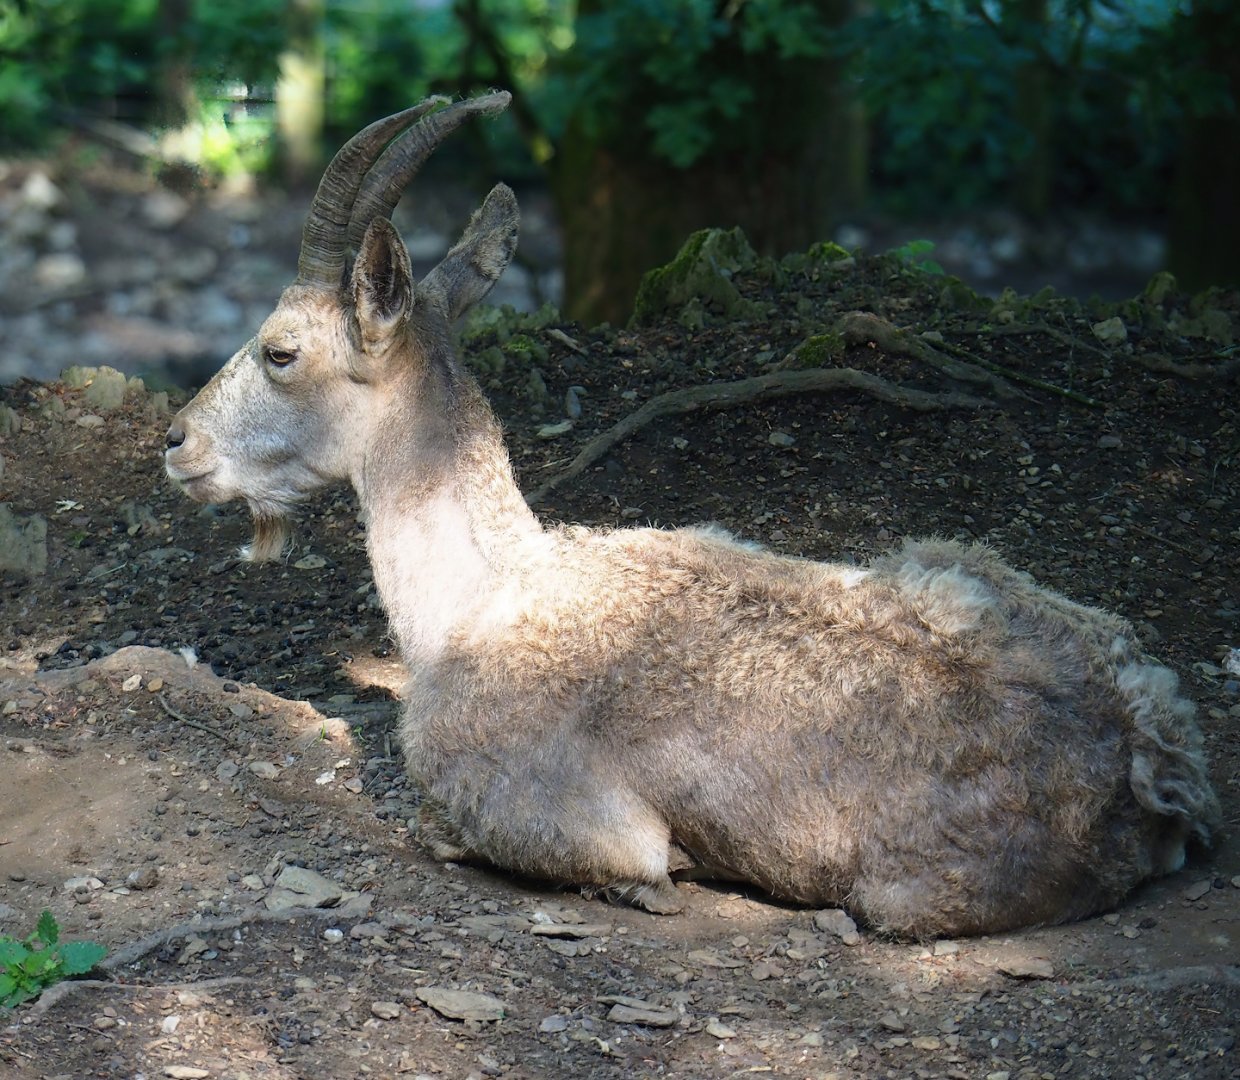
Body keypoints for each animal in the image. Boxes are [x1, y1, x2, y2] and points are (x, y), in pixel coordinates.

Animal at [165, 93, 1218, 938]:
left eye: (281, 349)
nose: (177, 442)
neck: (480, 599)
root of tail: (1150, 754)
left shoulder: (556, 807)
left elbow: (527, 845)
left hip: (909, 897)